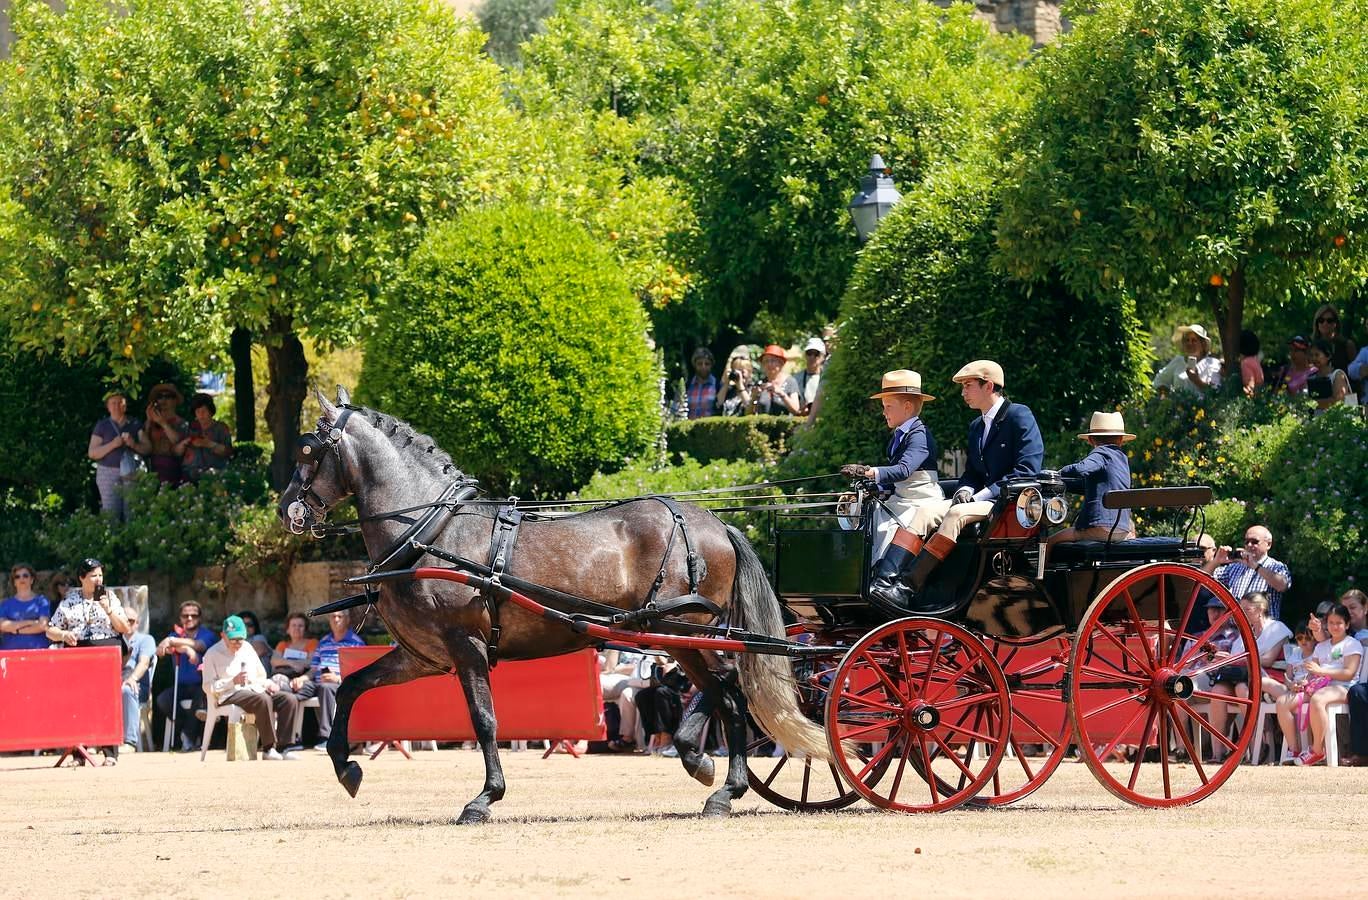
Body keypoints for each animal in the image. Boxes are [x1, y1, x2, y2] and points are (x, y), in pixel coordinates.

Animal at [280, 385, 820, 820]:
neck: (431, 533)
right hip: (679, 635)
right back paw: (707, 769)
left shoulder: (466, 645)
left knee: (729, 690)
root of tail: (715, 523)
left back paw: (716, 777)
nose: (286, 509)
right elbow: (352, 686)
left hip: (683, 631)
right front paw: (346, 766)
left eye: (308, 451)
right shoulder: (423, 656)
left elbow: (484, 720)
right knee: (724, 691)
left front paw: (485, 798)